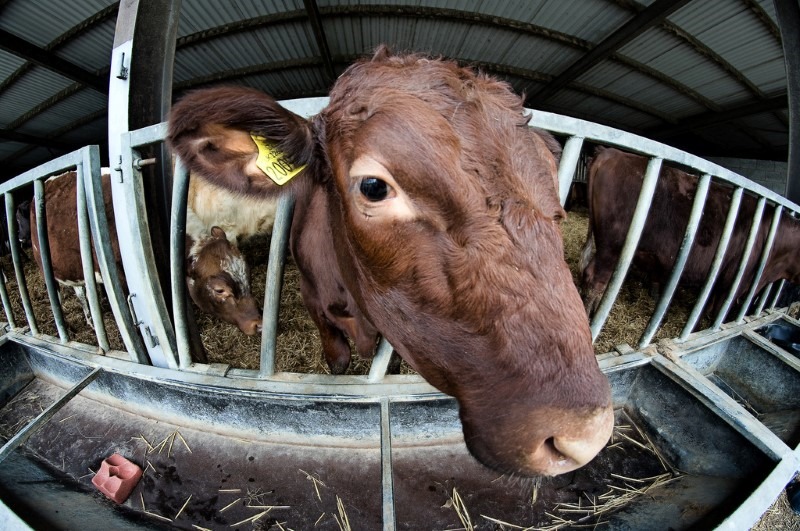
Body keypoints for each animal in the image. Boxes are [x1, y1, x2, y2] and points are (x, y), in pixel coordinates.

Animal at [580, 146, 800, 321]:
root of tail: (611, 152)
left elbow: (705, 308)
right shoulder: (733, 283)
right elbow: (716, 315)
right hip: (612, 247)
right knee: (595, 280)